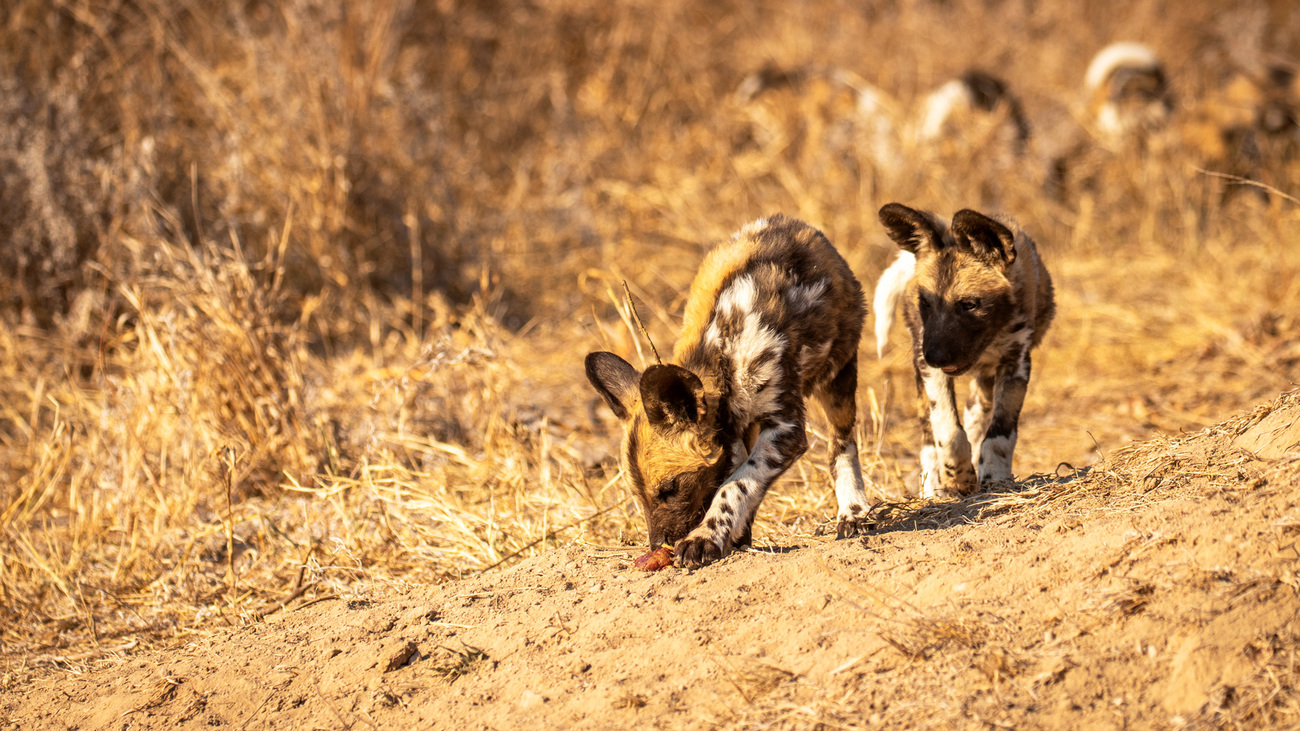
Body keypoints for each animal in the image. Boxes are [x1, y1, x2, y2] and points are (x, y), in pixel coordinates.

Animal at [590, 213, 873, 567]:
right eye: (638, 494)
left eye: (671, 488)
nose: (658, 544)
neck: (724, 357)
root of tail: (799, 226)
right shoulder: (736, 433)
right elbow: (738, 481)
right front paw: (724, 537)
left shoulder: (786, 430)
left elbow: (734, 486)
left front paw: (703, 538)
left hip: (837, 379)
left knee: (841, 445)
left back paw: (853, 513)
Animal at [868, 205, 1050, 499]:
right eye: (925, 302)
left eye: (969, 305)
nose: (935, 356)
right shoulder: (930, 371)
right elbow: (949, 431)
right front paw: (959, 476)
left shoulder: (1016, 364)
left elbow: (999, 435)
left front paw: (995, 477)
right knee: (929, 439)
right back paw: (933, 489)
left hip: (985, 381)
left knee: (976, 415)